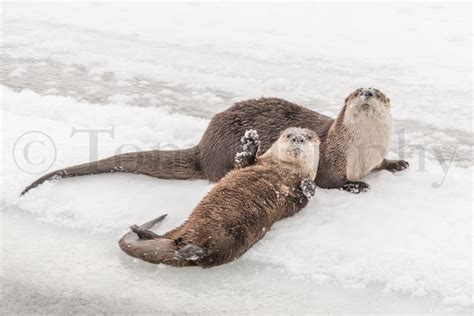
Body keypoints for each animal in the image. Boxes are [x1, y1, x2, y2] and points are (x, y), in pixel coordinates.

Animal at [21, 86, 408, 195]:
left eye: (378, 92)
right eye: (356, 92)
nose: (367, 93)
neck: (362, 150)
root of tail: (204, 146)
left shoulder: (371, 157)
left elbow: (382, 164)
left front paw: (397, 163)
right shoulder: (330, 156)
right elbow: (330, 181)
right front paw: (355, 186)